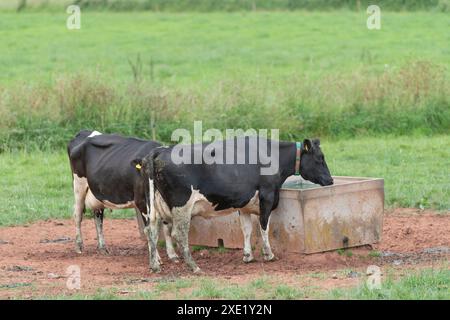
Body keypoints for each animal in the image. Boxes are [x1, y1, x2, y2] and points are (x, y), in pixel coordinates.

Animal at [67, 130, 179, 262]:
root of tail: (84, 132)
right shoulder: (141, 201)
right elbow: (150, 230)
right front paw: (155, 257)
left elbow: (167, 227)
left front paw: (172, 255)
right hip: (78, 184)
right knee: (78, 215)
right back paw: (79, 245)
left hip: (97, 193)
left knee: (98, 217)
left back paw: (102, 248)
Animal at [132, 136, 332, 272]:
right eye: (320, 158)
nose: (330, 180)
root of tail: (159, 151)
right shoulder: (267, 196)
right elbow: (263, 226)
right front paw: (269, 254)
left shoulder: (244, 204)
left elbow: (247, 229)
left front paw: (248, 256)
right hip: (181, 205)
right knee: (178, 234)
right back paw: (194, 266)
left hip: (151, 207)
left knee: (151, 230)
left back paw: (155, 265)